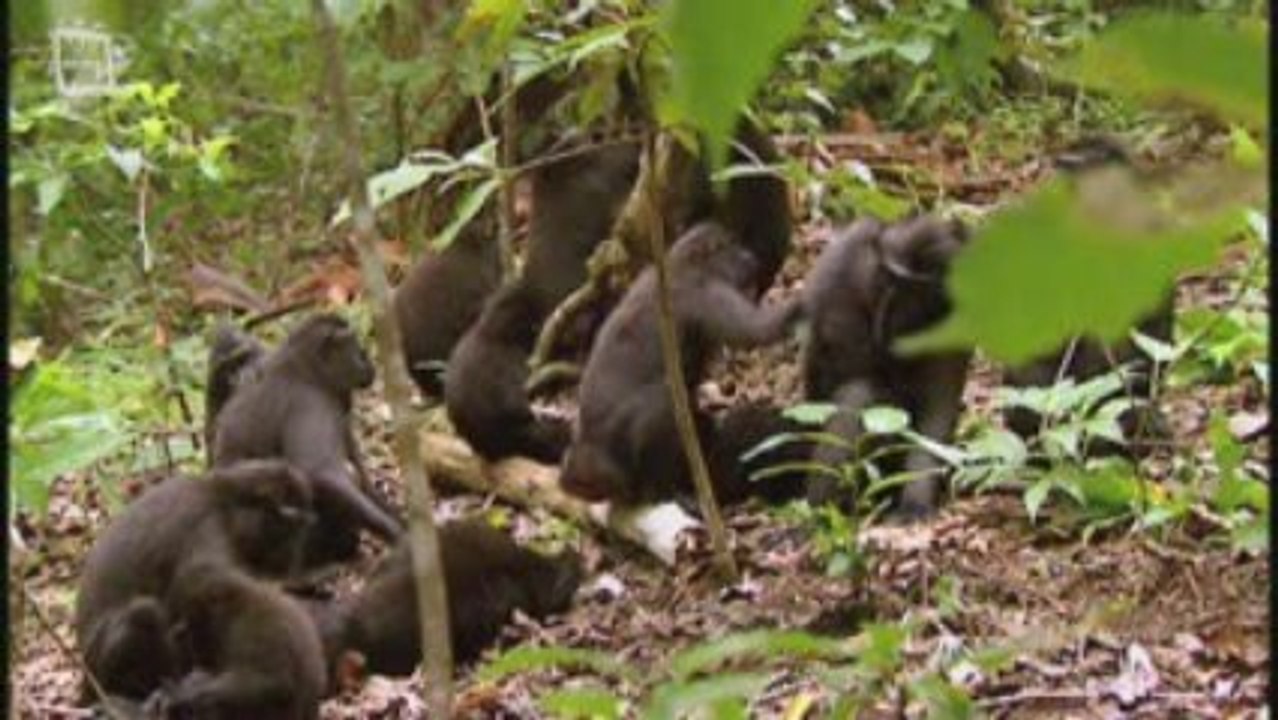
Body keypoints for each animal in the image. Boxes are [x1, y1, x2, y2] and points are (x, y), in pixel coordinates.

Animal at [76, 460, 314, 702]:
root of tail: (86, 678)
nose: (292, 557)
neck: (222, 499)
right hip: (100, 666)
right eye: (290, 533)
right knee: (143, 612)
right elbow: (200, 583)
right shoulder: (207, 529)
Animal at [153, 559, 326, 720]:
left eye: (189, 625)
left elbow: (275, 682)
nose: (183, 636)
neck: (235, 610)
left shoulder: (256, 628)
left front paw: (189, 694)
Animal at [211, 314, 403, 567]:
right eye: (356, 348)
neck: (309, 369)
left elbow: (361, 477)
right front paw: (400, 536)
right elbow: (320, 473)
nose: (368, 361)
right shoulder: (311, 404)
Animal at [560, 221, 804, 505]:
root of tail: (588, 447)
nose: (751, 257)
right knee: (664, 402)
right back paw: (665, 489)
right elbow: (755, 330)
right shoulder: (705, 294)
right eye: (733, 247)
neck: (686, 262)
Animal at [800, 215, 971, 520]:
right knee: (860, 393)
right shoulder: (846, 272)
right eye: (889, 278)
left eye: (915, 289)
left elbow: (937, 410)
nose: (887, 316)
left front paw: (915, 502)